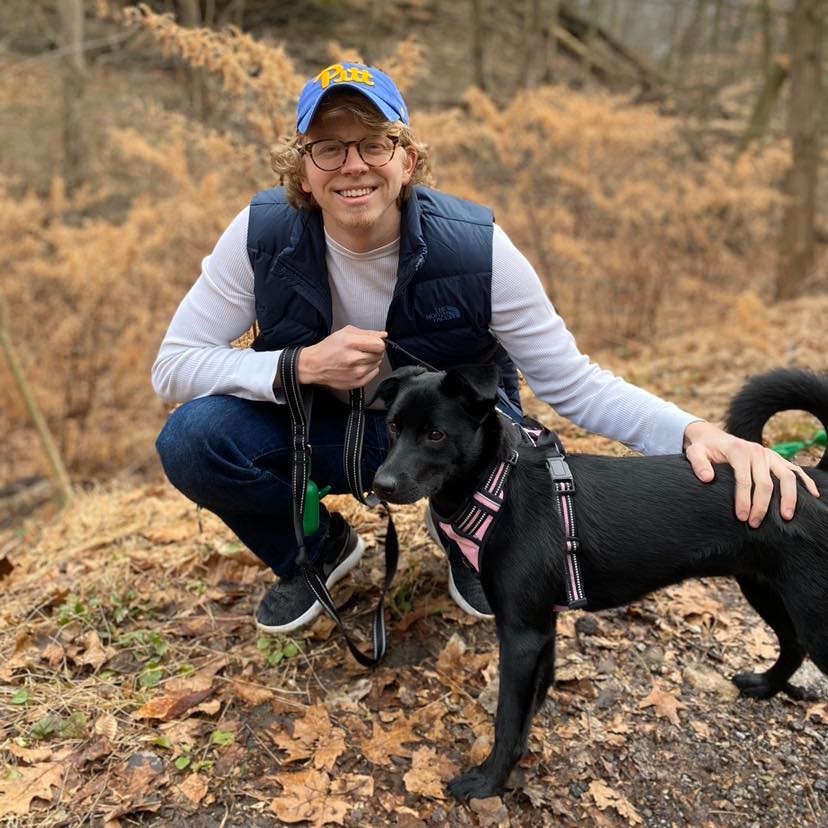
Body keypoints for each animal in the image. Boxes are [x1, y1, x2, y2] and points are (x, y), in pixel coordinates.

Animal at [374, 366, 828, 800]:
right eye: (393, 426)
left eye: (435, 434)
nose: (381, 484)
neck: (498, 488)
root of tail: (815, 475)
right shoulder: (541, 627)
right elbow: (530, 704)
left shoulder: (521, 634)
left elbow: (508, 717)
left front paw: (488, 782)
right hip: (766, 589)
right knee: (793, 644)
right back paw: (765, 685)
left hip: (808, 607)